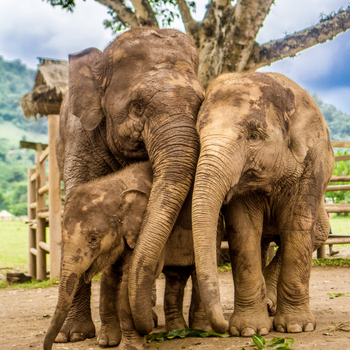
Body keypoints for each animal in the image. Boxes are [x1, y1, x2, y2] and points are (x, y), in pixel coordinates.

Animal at [43, 163, 213, 350]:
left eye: (94, 239)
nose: (51, 346)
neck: (117, 185)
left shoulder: (143, 230)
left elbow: (129, 277)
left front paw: (130, 346)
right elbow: (110, 276)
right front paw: (106, 342)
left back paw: (200, 329)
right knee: (176, 275)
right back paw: (176, 329)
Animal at [191, 72, 336, 336]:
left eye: (254, 136)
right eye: (197, 135)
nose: (222, 326)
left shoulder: (313, 164)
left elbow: (297, 227)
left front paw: (297, 327)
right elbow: (243, 229)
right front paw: (248, 331)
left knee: (317, 234)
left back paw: (271, 305)